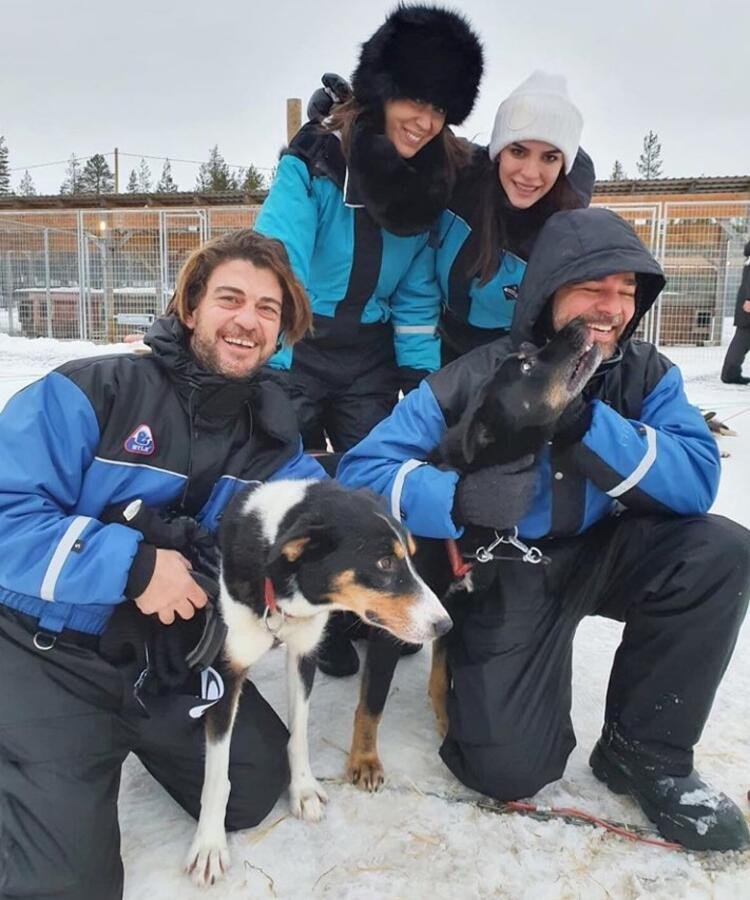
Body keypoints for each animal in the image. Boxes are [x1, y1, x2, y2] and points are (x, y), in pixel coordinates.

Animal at [186, 478, 452, 884]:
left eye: (411, 557)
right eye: (384, 562)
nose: (445, 625)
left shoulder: (303, 654)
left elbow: (298, 736)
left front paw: (304, 790)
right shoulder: (225, 673)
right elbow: (217, 774)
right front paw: (210, 846)